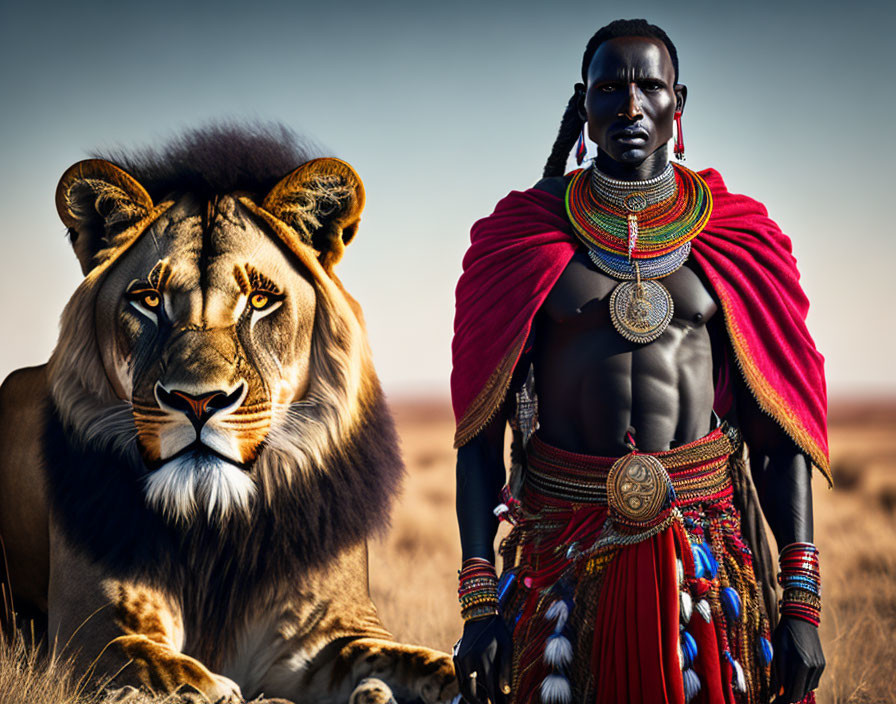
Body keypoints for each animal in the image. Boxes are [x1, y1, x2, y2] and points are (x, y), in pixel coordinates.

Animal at [0, 126, 458, 704]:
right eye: (148, 299)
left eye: (259, 301)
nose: (198, 401)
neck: (214, 524)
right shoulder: (89, 629)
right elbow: (156, 664)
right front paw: (212, 688)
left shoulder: (335, 628)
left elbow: (420, 659)